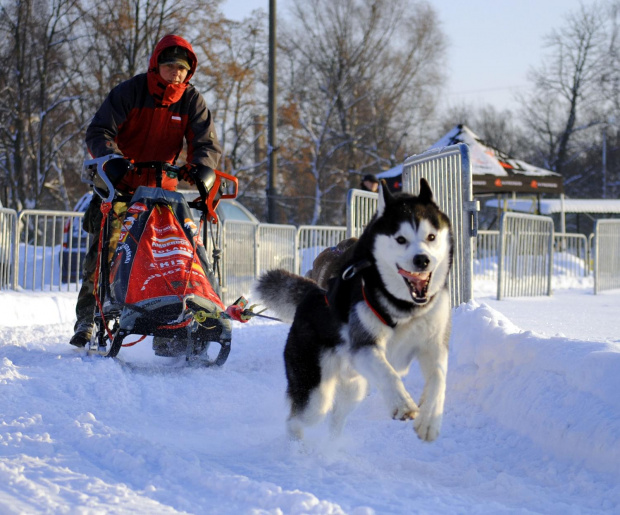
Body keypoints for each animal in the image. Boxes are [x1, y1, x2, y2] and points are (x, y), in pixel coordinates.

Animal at [254, 179, 452, 442]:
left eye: (431, 236)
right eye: (400, 239)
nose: (422, 260)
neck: (404, 306)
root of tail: (314, 293)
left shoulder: (433, 345)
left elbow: (439, 380)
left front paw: (429, 420)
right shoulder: (365, 346)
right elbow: (390, 375)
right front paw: (403, 405)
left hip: (355, 386)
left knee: (336, 418)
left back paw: (332, 446)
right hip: (316, 389)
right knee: (299, 418)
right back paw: (298, 446)